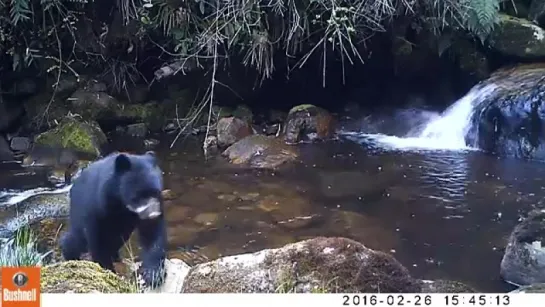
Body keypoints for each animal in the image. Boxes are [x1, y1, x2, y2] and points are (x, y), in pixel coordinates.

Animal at [60, 151, 167, 288]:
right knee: (77, 239)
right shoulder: (97, 207)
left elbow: (152, 235)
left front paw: (152, 274)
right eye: (138, 196)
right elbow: (98, 240)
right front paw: (108, 271)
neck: (120, 203)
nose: (153, 214)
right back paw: (69, 252)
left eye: (155, 192)